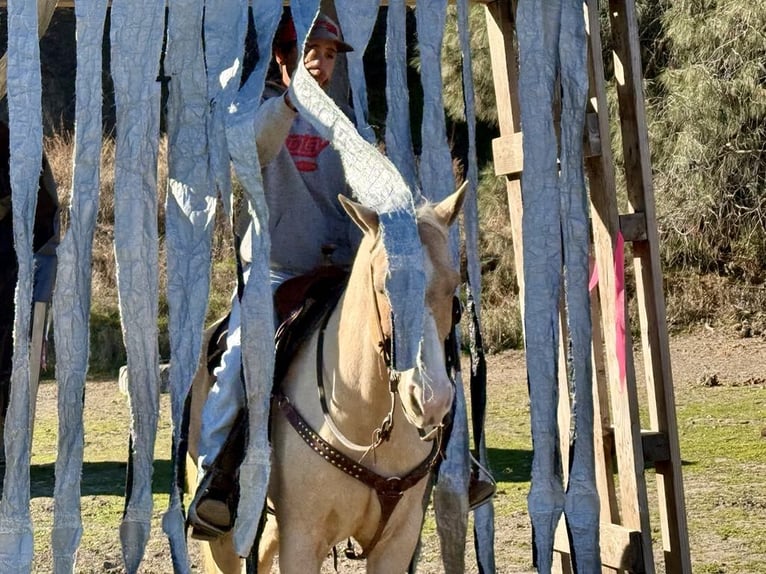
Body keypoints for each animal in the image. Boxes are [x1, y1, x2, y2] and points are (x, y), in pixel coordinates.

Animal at [186, 187, 464, 572]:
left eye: (453, 286)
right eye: (384, 286)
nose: (430, 399)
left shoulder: (397, 542)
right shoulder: (302, 540)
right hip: (223, 539)